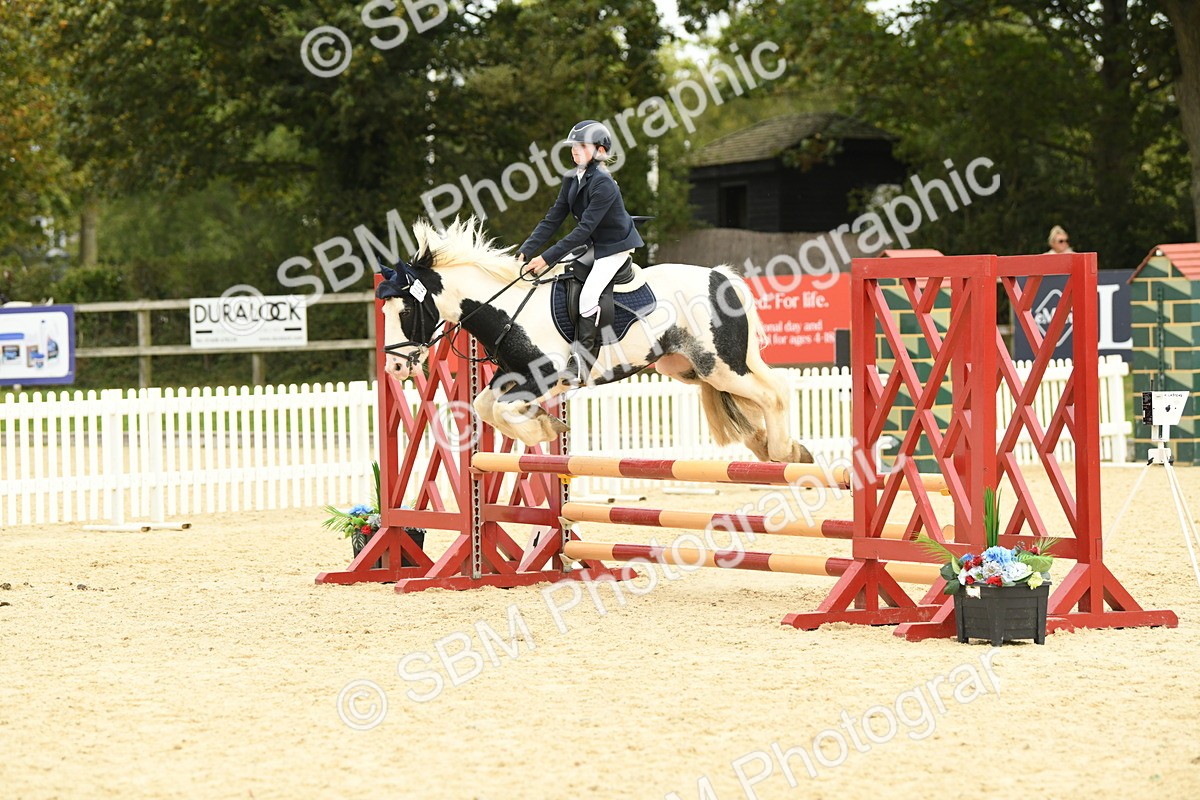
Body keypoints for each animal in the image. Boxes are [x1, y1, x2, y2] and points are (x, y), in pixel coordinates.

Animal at [376, 217, 813, 463]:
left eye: (405, 311)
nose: (393, 367)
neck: (507, 308)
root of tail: (720, 275)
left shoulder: (547, 377)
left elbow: (501, 410)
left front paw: (542, 429)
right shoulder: (514, 376)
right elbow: (487, 406)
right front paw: (544, 424)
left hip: (719, 366)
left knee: (775, 392)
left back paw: (784, 452)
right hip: (688, 368)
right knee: (767, 392)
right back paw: (770, 447)